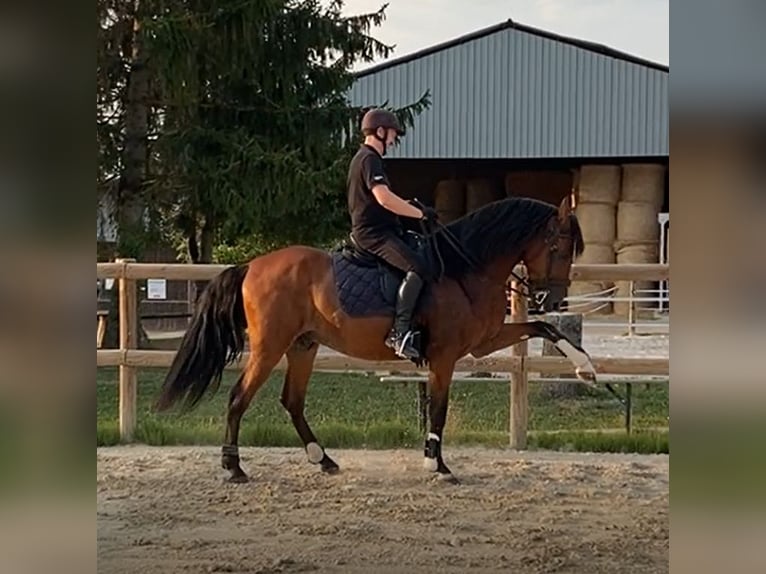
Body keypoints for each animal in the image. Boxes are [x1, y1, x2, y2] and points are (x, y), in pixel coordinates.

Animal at [154, 196, 596, 484]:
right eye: (558, 248)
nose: (554, 301)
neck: (465, 268)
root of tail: (251, 266)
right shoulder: (445, 356)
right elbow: (439, 409)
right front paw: (436, 465)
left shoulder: (482, 343)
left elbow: (546, 329)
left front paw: (586, 368)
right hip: (269, 348)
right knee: (238, 399)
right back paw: (234, 468)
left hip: (303, 346)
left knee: (292, 402)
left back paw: (322, 459)